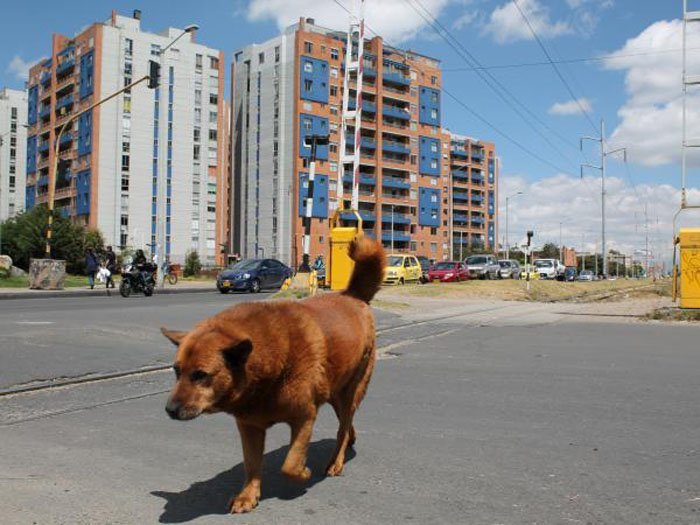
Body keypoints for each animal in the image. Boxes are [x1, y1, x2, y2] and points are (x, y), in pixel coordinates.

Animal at [162, 237, 386, 512]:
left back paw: (336, 461)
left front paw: (303, 473)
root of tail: (353, 296)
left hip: (349, 391)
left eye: (201, 375)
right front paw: (247, 495)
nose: (170, 410)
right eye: (177, 371)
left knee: (343, 428)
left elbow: (290, 464)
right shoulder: (249, 426)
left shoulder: (304, 417)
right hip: (334, 391)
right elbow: (251, 464)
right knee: (348, 423)